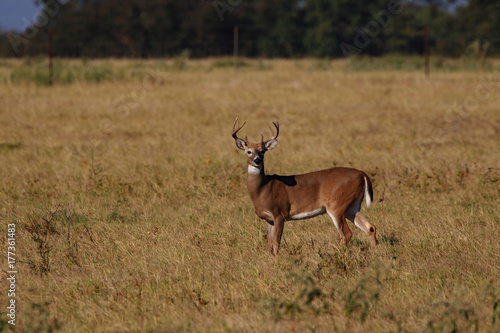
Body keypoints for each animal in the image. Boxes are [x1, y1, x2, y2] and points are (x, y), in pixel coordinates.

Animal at [232, 118, 376, 254]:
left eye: (262, 151)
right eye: (248, 151)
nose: (257, 160)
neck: (263, 189)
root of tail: (362, 174)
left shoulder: (280, 213)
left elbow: (276, 243)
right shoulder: (269, 219)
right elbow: (269, 244)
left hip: (336, 204)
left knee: (347, 234)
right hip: (352, 205)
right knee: (370, 227)